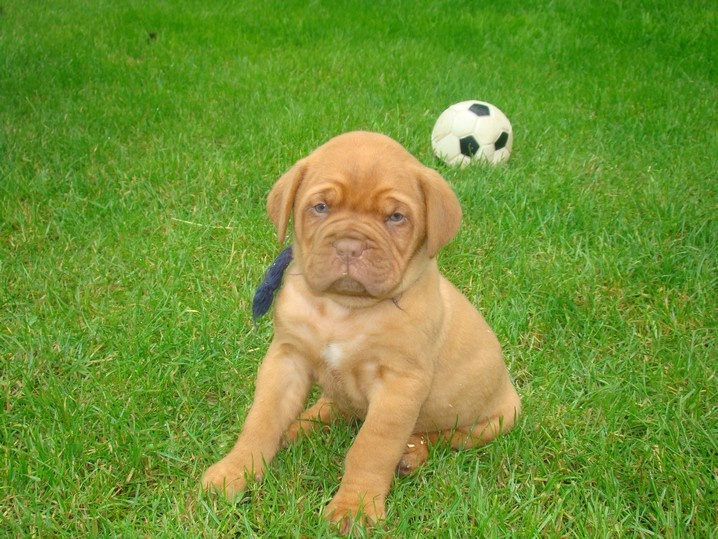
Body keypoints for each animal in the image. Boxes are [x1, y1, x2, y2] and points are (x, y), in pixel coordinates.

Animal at [202, 131, 521, 532]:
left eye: (396, 217)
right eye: (321, 207)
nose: (349, 246)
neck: (343, 310)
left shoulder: (400, 384)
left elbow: (371, 447)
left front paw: (354, 507)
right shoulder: (286, 358)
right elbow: (261, 419)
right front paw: (235, 471)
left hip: (497, 419)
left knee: (443, 436)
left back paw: (412, 453)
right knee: (333, 407)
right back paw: (299, 427)